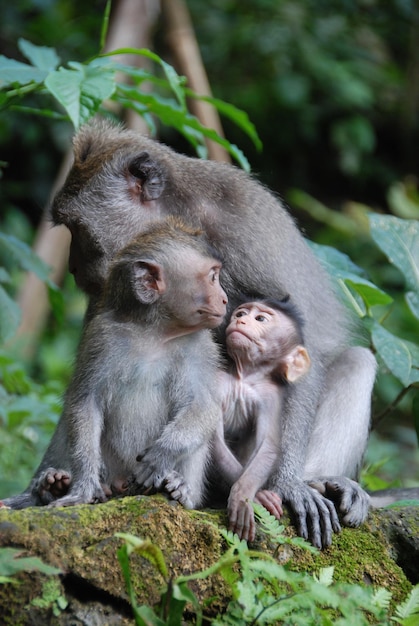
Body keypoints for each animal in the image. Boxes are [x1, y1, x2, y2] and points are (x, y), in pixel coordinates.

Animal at [4, 218, 226, 508]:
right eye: (212, 277)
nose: (224, 298)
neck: (156, 332)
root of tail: (121, 485)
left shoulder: (202, 347)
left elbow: (204, 405)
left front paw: (161, 455)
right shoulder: (102, 338)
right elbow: (85, 402)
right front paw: (83, 487)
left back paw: (180, 490)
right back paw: (51, 485)